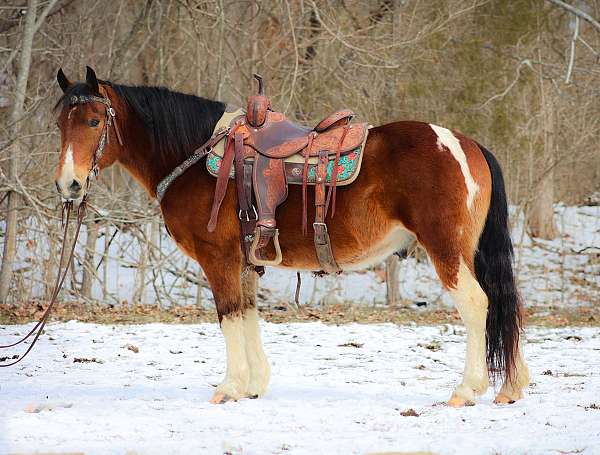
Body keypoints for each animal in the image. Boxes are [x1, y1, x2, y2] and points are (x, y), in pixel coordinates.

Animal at [52, 67, 528, 406]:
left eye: (93, 121)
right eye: (60, 122)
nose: (69, 184)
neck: (195, 157)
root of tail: (465, 144)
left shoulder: (217, 259)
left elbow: (228, 317)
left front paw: (230, 387)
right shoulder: (245, 262)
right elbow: (247, 314)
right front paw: (254, 384)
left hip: (447, 250)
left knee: (477, 304)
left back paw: (466, 390)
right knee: (503, 302)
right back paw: (511, 387)